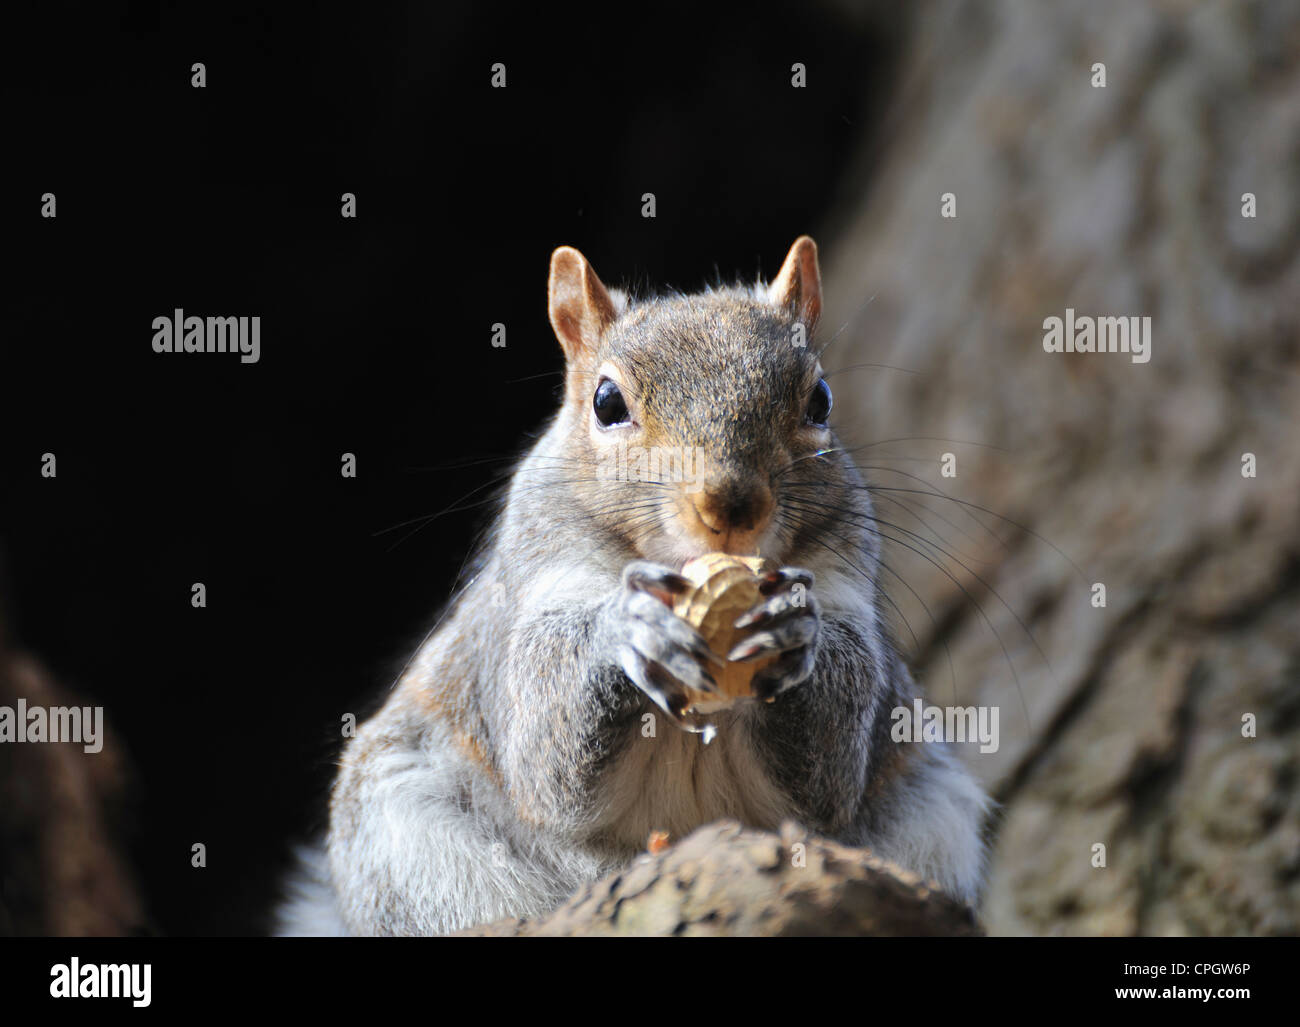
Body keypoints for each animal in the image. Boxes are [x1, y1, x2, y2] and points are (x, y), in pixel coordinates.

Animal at [275, 236, 991, 936]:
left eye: (820, 400)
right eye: (606, 403)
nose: (731, 505)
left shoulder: (847, 593)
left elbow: (831, 771)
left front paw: (791, 628)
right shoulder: (522, 605)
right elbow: (546, 751)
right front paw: (627, 627)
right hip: (401, 834)